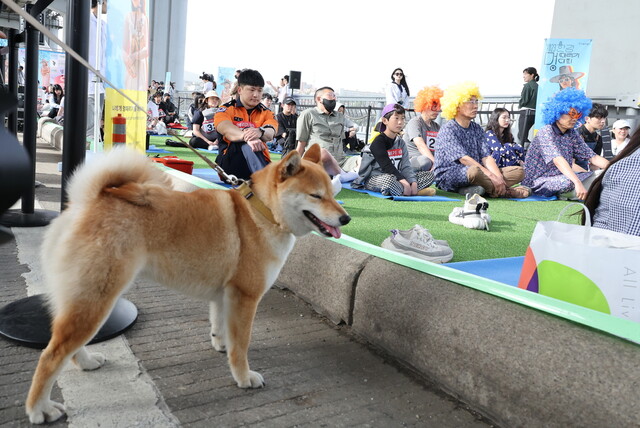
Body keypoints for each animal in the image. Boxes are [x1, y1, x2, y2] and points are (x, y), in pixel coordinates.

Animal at [25, 145, 350, 424]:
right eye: (316, 196)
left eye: (334, 194)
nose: (346, 218)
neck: (262, 212)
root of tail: (86, 202)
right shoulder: (246, 296)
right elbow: (242, 345)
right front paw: (243, 377)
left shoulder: (225, 294)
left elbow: (221, 327)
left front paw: (221, 345)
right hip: (97, 299)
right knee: (51, 355)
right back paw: (40, 409)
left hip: (84, 299)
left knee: (67, 345)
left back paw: (86, 362)